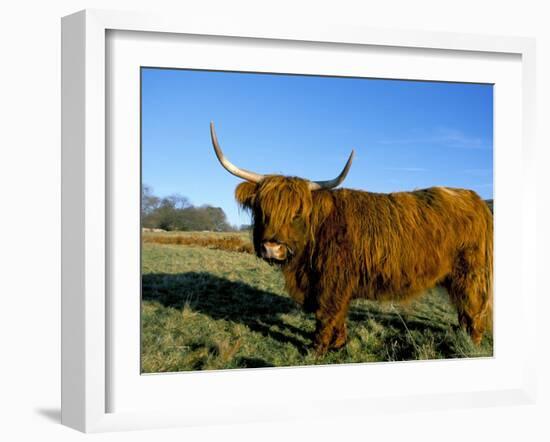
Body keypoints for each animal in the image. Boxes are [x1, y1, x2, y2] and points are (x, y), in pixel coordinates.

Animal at [211, 121, 496, 356]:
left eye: (297, 213)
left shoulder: (331, 284)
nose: (272, 247)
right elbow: (338, 317)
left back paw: (470, 344)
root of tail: (476, 199)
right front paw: (338, 344)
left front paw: (316, 349)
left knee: (474, 310)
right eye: (262, 210)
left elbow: (326, 316)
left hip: (471, 275)